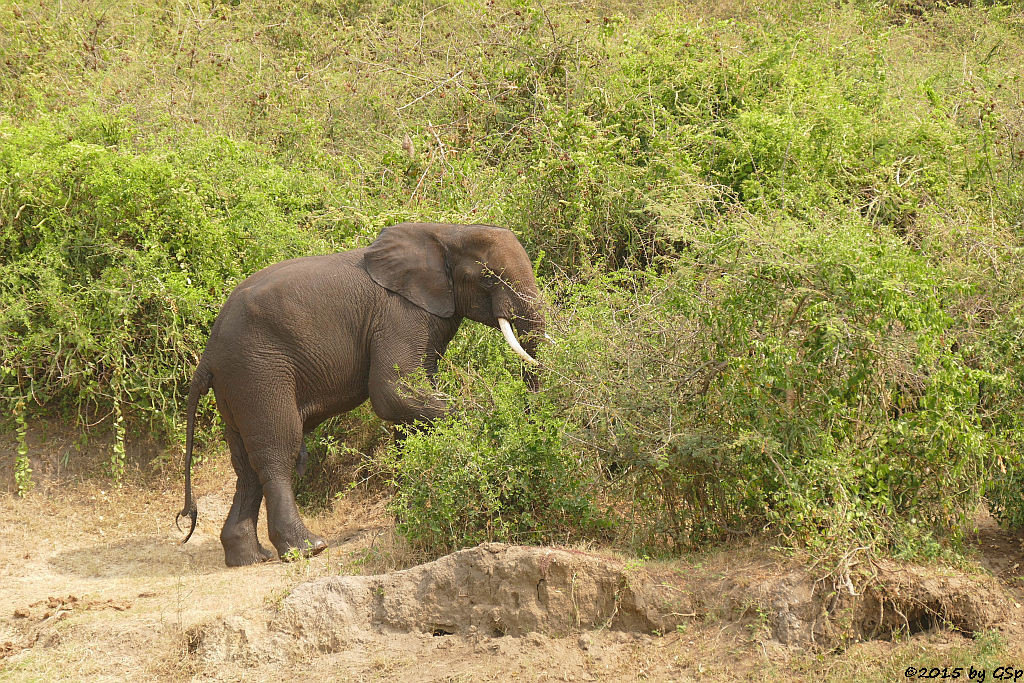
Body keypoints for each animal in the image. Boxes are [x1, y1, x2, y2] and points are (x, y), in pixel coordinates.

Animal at [175, 223, 544, 565]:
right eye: (488, 278)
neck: (447, 233)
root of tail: (208, 353)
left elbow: (412, 403)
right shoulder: (400, 315)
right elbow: (393, 393)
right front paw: (495, 416)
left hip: (235, 383)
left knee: (245, 467)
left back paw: (250, 558)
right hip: (257, 370)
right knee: (278, 448)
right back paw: (308, 548)